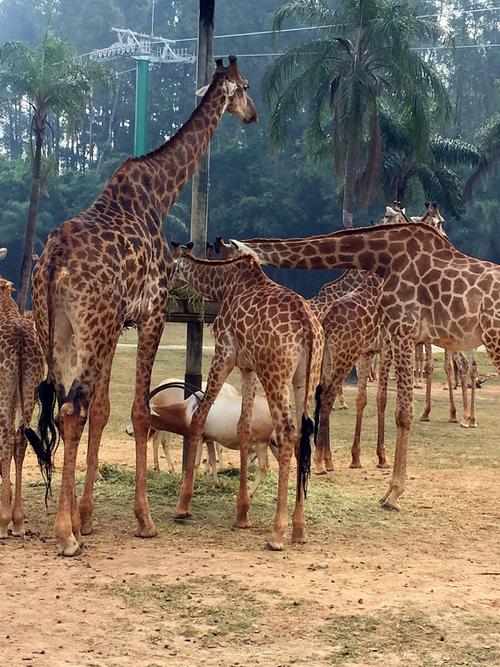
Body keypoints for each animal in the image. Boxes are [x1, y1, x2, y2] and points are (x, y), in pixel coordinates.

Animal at [24, 57, 256, 560]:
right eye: (246, 86)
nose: (253, 115)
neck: (161, 193)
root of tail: (52, 263)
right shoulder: (151, 313)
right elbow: (137, 412)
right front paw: (144, 520)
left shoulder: (119, 325)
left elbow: (105, 410)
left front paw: (88, 516)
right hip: (90, 324)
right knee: (71, 409)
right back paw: (64, 535)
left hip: (62, 330)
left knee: (65, 409)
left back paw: (68, 525)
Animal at [170, 243, 322, 552]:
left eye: (170, 266)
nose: (169, 285)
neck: (223, 285)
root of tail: (308, 327)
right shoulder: (248, 366)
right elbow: (243, 427)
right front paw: (242, 513)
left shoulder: (225, 353)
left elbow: (200, 416)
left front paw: (183, 506)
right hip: (306, 379)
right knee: (303, 436)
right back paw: (299, 529)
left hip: (275, 373)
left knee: (287, 433)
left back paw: (277, 534)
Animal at [229, 224, 500, 512]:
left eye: (229, 258)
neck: (382, 257)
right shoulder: (398, 336)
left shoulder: (403, 331)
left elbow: (403, 414)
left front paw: (393, 494)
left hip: (492, 339)